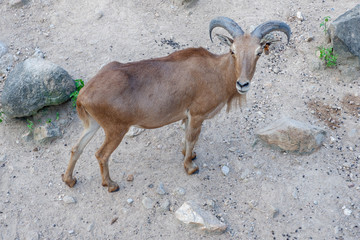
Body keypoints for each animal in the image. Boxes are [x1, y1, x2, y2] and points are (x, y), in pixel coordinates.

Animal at [60, 16, 290, 191]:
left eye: (258, 53)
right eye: (232, 50)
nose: (243, 84)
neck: (217, 72)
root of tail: (83, 94)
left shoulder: (186, 115)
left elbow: (186, 137)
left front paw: (189, 154)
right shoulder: (197, 114)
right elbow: (192, 138)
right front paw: (190, 166)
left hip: (93, 124)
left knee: (75, 148)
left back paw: (69, 180)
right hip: (115, 129)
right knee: (101, 154)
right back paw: (111, 184)